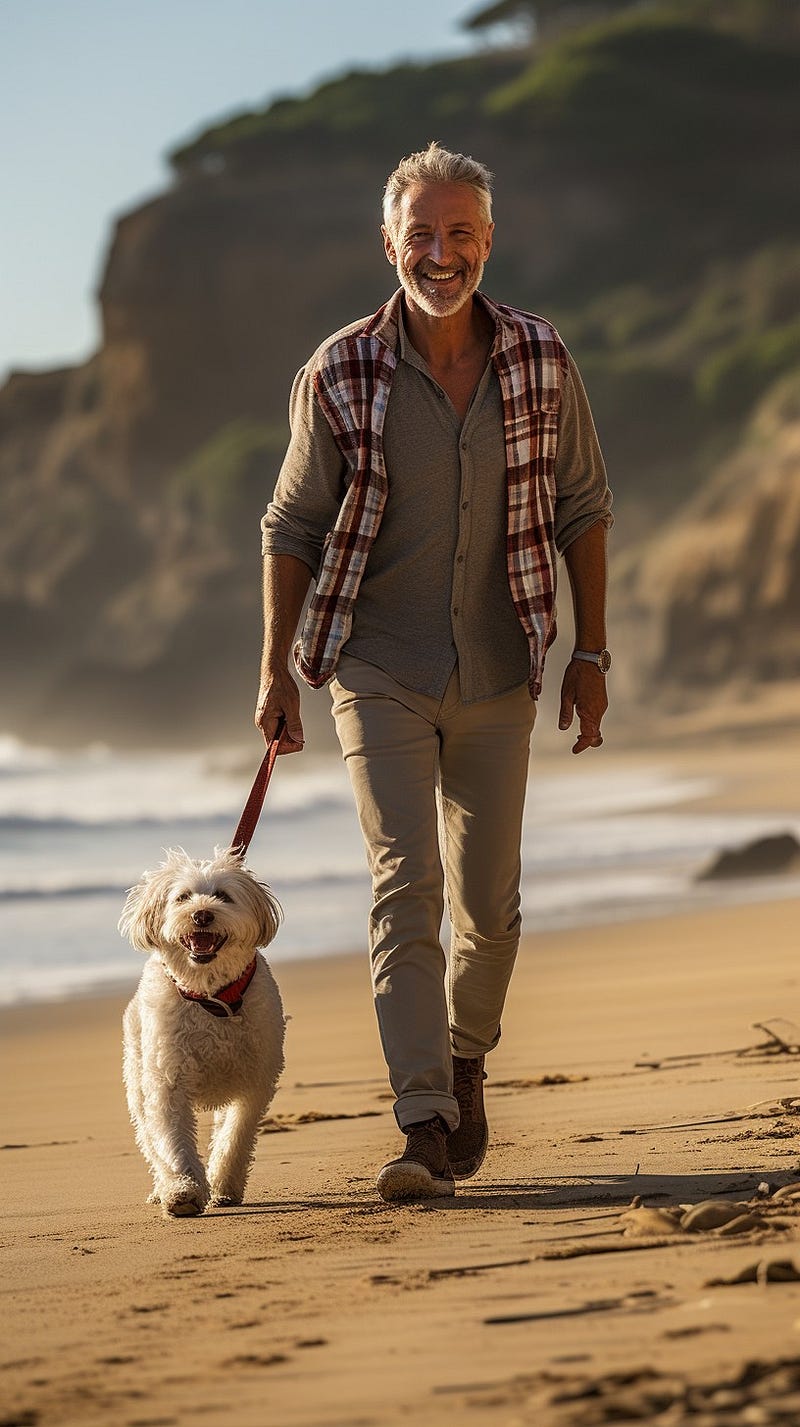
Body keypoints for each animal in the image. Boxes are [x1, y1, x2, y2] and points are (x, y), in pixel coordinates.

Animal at [116, 844, 282, 1215]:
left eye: (222, 896)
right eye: (182, 897)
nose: (202, 915)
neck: (211, 996)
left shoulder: (254, 1082)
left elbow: (235, 1136)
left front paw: (223, 1185)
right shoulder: (167, 1080)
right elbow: (171, 1140)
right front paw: (183, 1190)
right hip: (137, 1082)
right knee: (149, 1139)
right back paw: (162, 1187)